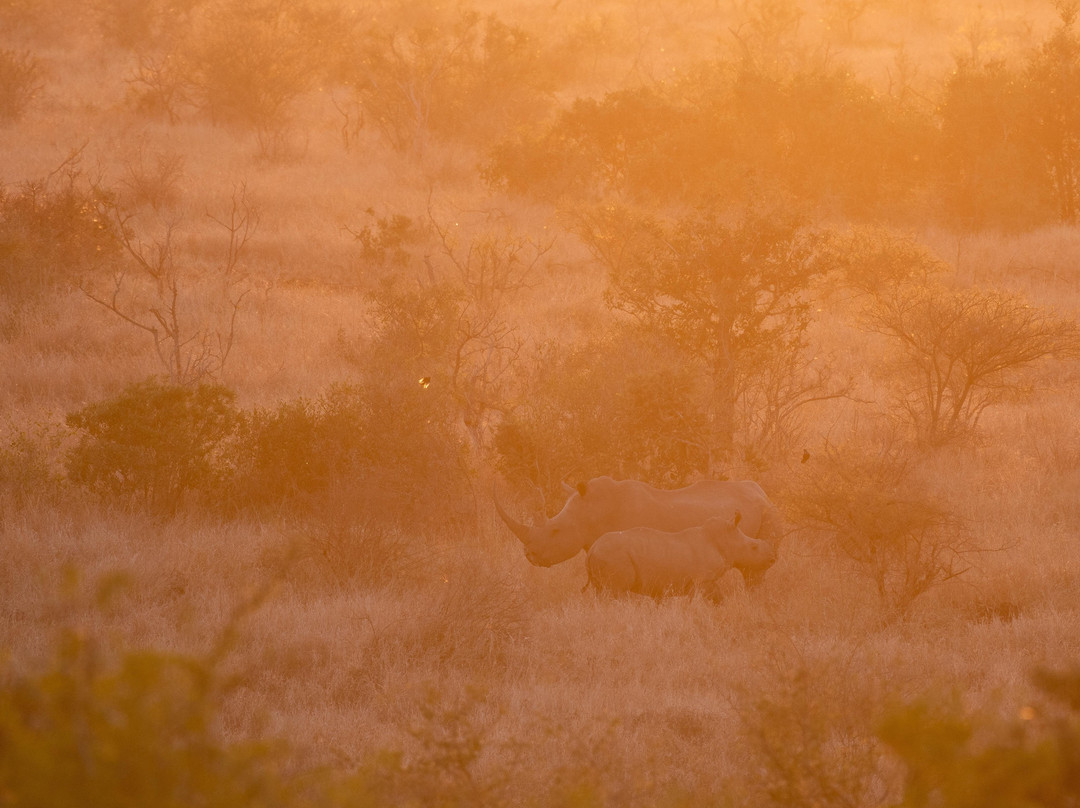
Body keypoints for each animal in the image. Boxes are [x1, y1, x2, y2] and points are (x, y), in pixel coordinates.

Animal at [583, 512, 777, 600]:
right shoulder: (703, 580)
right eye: (753, 547)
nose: (772, 558)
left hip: (603, 556)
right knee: (616, 594)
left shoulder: (700, 582)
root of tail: (592, 549)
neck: (725, 539)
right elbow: (712, 596)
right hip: (613, 556)